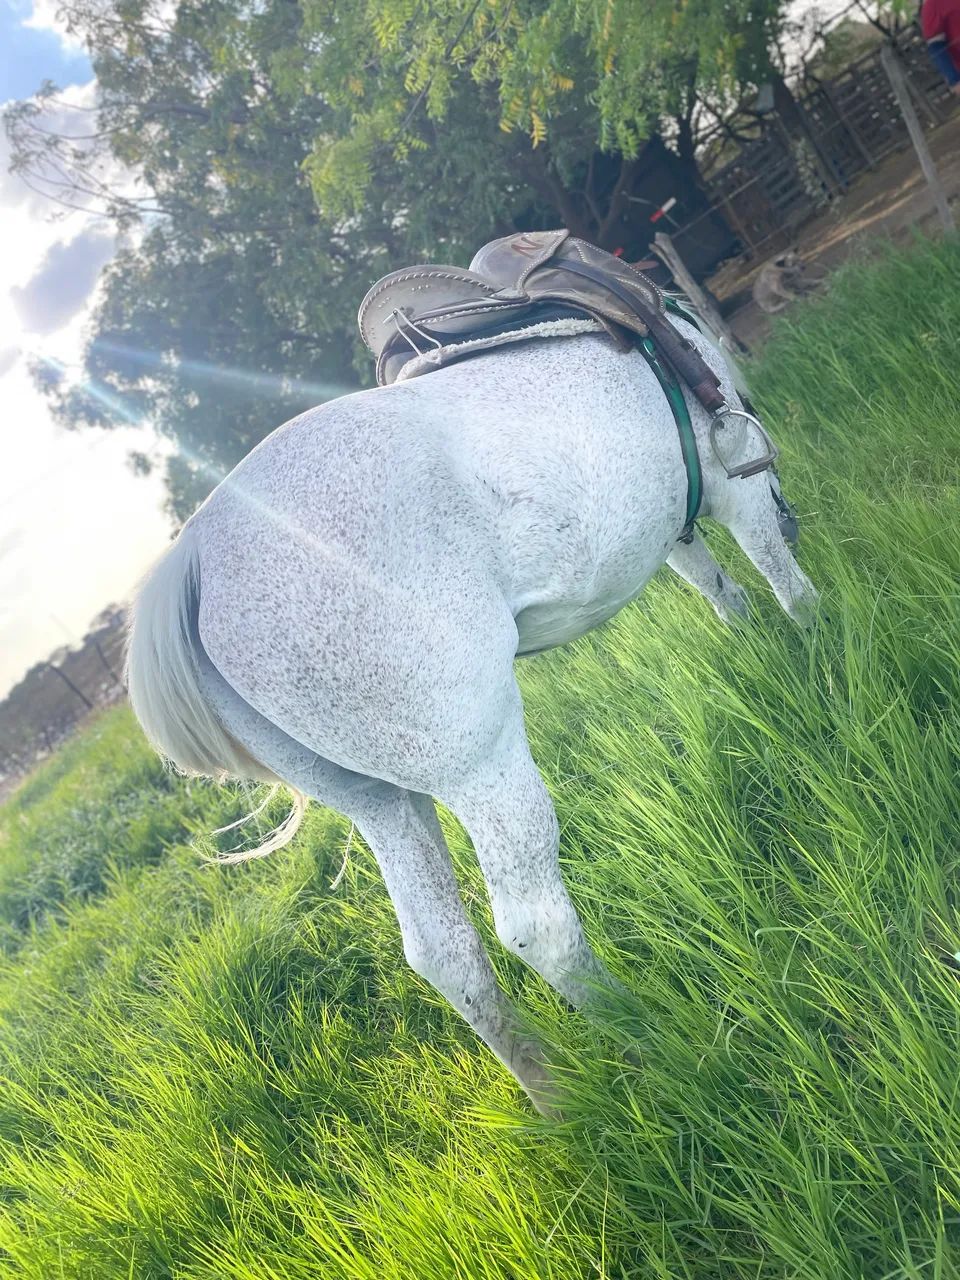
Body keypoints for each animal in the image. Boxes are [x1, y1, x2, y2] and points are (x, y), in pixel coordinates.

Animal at [126, 320, 819, 1116]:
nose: (795, 518)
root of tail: (194, 559)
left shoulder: (679, 521)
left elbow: (721, 590)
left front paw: (763, 656)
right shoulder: (740, 490)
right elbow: (788, 586)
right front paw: (820, 655)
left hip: (380, 805)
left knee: (444, 954)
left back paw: (550, 1098)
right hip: (483, 766)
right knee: (534, 926)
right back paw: (659, 1047)